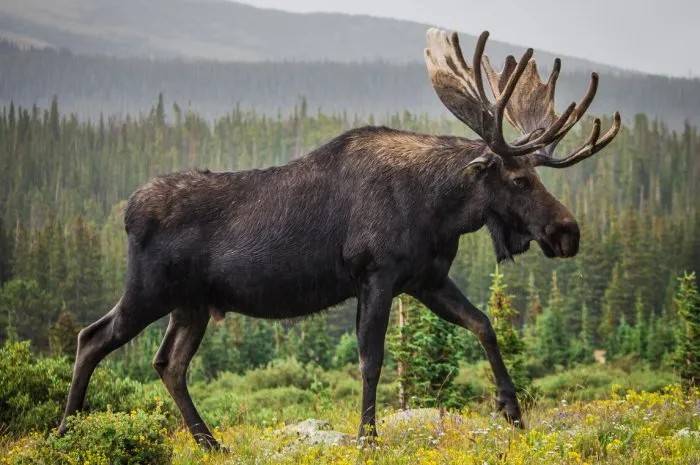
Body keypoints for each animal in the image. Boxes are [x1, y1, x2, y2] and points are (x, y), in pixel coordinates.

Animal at [58, 28, 620, 450]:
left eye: (536, 175)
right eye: (519, 179)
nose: (568, 232)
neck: (439, 210)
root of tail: (127, 211)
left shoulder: (426, 280)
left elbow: (483, 324)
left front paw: (512, 410)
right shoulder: (377, 275)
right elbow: (372, 358)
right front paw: (368, 437)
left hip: (191, 304)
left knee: (168, 364)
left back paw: (210, 442)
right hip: (150, 290)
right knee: (92, 337)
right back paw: (66, 431)